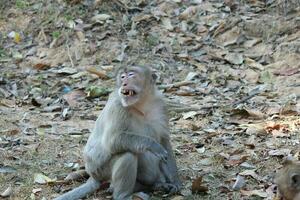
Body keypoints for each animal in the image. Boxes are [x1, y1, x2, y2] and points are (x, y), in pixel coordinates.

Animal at [53, 66, 180, 200]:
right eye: (123, 77)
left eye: (131, 75)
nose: (124, 83)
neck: (141, 104)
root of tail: (92, 175)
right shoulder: (118, 106)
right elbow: (112, 140)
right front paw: (153, 146)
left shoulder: (161, 104)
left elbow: (164, 141)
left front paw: (175, 182)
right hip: (102, 171)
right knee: (128, 155)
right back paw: (123, 195)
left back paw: (155, 185)